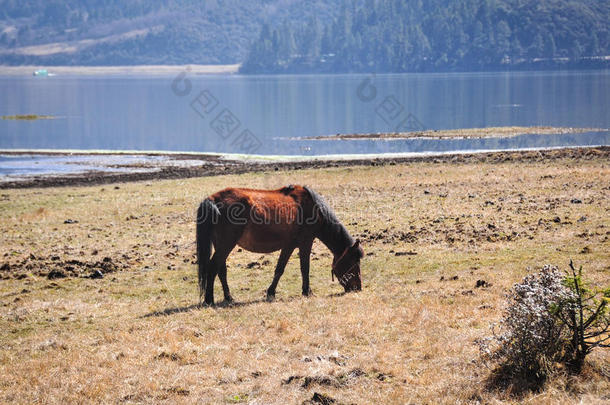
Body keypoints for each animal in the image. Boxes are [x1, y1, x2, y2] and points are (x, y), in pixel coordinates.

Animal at [196, 183, 360, 304]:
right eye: (353, 261)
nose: (358, 288)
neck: (313, 209)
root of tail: (213, 200)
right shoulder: (305, 243)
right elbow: (304, 268)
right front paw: (307, 291)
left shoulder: (289, 245)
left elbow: (280, 269)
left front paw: (271, 293)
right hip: (226, 245)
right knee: (213, 267)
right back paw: (209, 300)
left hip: (221, 245)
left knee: (221, 270)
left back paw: (228, 297)